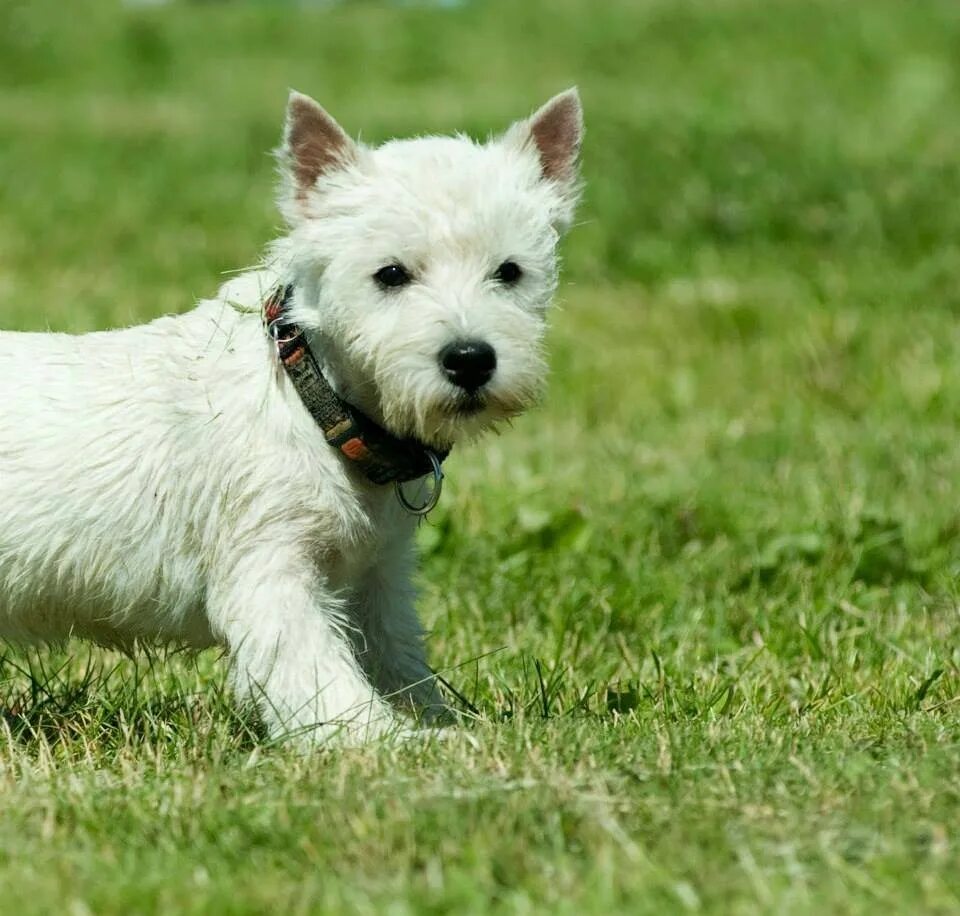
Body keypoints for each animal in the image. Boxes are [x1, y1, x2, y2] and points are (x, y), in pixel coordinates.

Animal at [0, 87, 584, 744]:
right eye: (390, 274)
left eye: (509, 271)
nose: (470, 359)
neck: (321, 401)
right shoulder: (271, 574)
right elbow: (321, 679)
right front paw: (397, 743)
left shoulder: (376, 581)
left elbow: (398, 660)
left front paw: (434, 719)